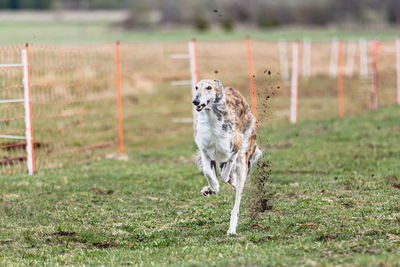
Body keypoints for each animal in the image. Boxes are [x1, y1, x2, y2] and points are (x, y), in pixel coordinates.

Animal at [191, 79, 260, 234]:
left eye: (209, 87)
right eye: (196, 87)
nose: (195, 101)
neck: (212, 120)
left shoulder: (235, 148)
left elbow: (225, 174)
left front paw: (221, 182)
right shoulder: (205, 151)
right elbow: (208, 173)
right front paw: (211, 189)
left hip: (243, 161)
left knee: (237, 199)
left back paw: (232, 228)